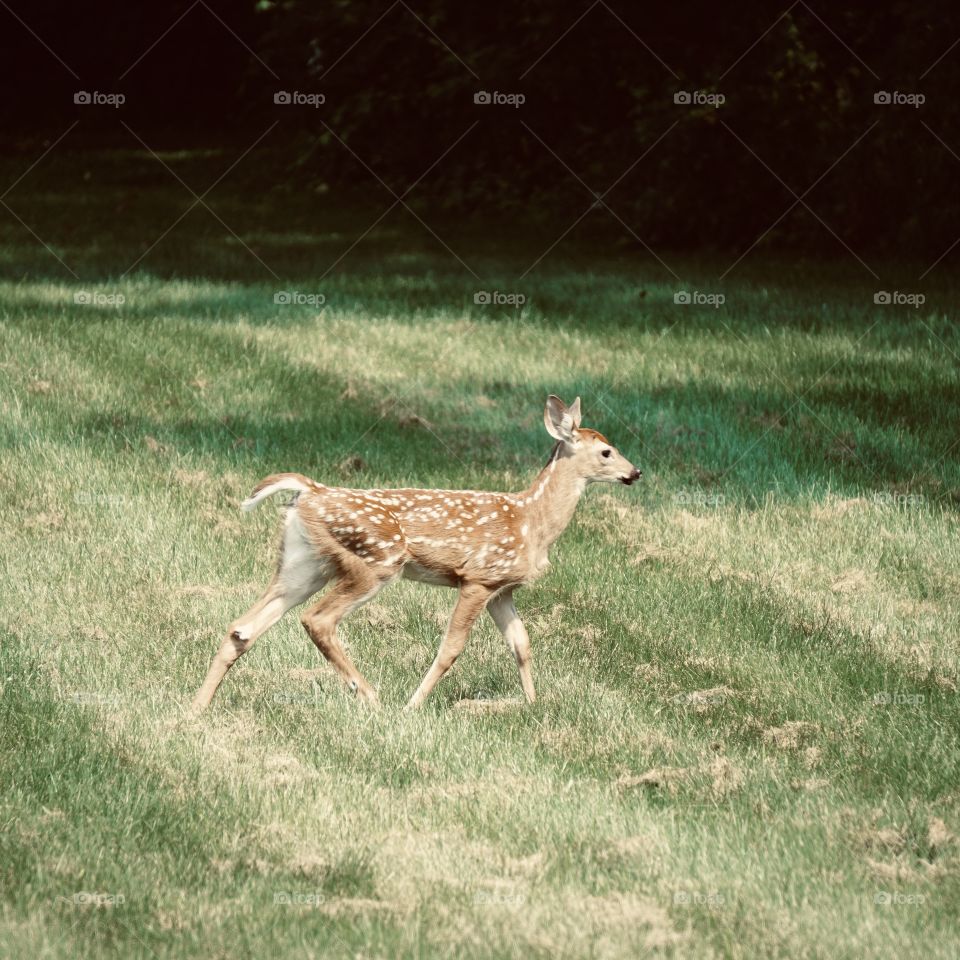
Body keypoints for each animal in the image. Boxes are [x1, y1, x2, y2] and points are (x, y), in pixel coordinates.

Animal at [190, 396, 641, 713]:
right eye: (606, 452)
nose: (634, 472)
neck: (532, 521)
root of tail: (310, 491)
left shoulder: (503, 588)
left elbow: (522, 644)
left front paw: (531, 704)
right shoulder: (478, 577)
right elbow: (451, 648)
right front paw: (414, 705)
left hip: (304, 562)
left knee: (242, 628)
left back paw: (196, 709)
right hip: (376, 560)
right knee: (317, 619)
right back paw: (370, 695)